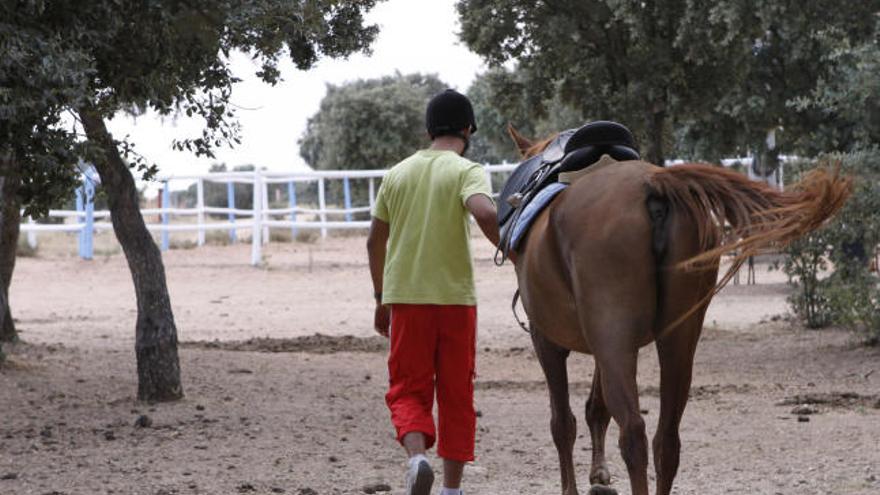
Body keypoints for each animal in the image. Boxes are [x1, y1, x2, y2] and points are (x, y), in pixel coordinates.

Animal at [508, 129, 852, 495]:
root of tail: (653, 183)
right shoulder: (598, 345)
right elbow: (594, 409)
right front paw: (599, 475)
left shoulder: (548, 342)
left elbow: (563, 423)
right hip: (677, 339)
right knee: (667, 441)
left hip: (616, 339)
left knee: (633, 435)